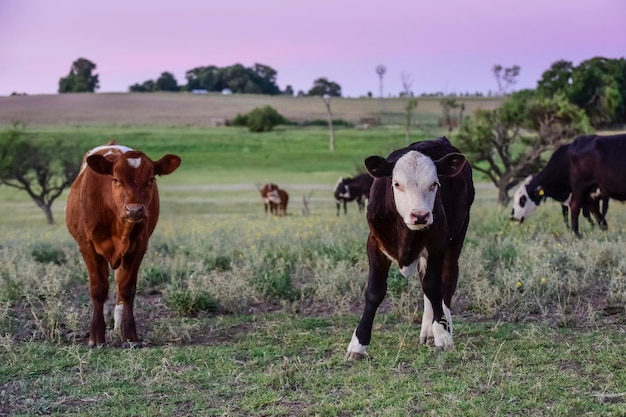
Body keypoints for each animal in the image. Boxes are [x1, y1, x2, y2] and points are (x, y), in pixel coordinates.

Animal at [66, 141, 180, 346]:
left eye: (151, 179)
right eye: (116, 180)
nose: (134, 210)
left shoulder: (139, 247)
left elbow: (127, 289)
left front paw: (129, 336)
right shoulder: (87, 246)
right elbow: (98, 288)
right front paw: (96, 336)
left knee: (119, 283)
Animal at [344, 136, 470, 358]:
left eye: (434, 184)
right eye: (397, 184)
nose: (420, 215)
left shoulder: (438, 243)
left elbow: (434, 287)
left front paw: (443, 335)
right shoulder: (374, 244)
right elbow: (374, 292)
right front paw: (358, 344)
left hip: (456, 239)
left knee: (447, 282)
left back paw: (443, 325)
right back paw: (428, 331)